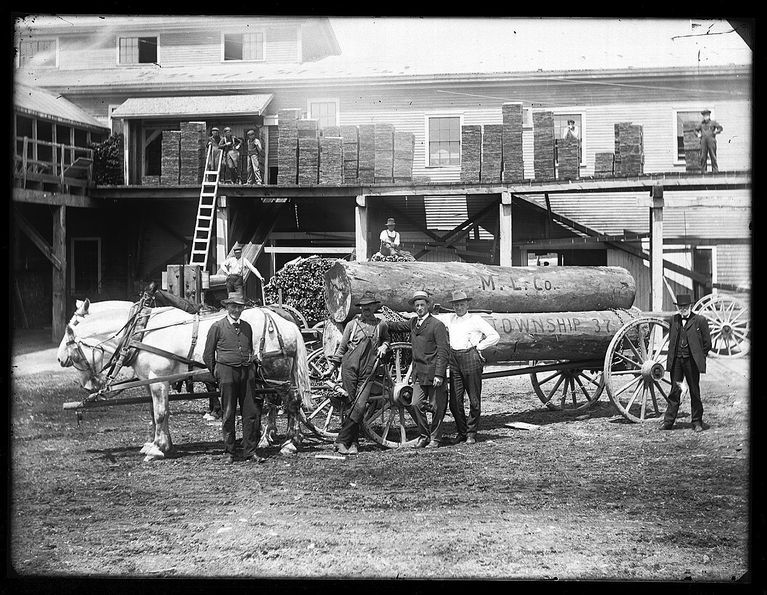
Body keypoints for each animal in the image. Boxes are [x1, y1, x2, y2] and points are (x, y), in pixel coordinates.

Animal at [55, 298, 316, 460]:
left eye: (72, 327)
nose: (59, 357)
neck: (142, 331)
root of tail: (285, 323)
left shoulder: (159, 380)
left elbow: (161, 414)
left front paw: (158, 449)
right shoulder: (151, 382)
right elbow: (155, 413)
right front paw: (156, 444)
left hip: (277, 374)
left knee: (291, 403)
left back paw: (290, 442)